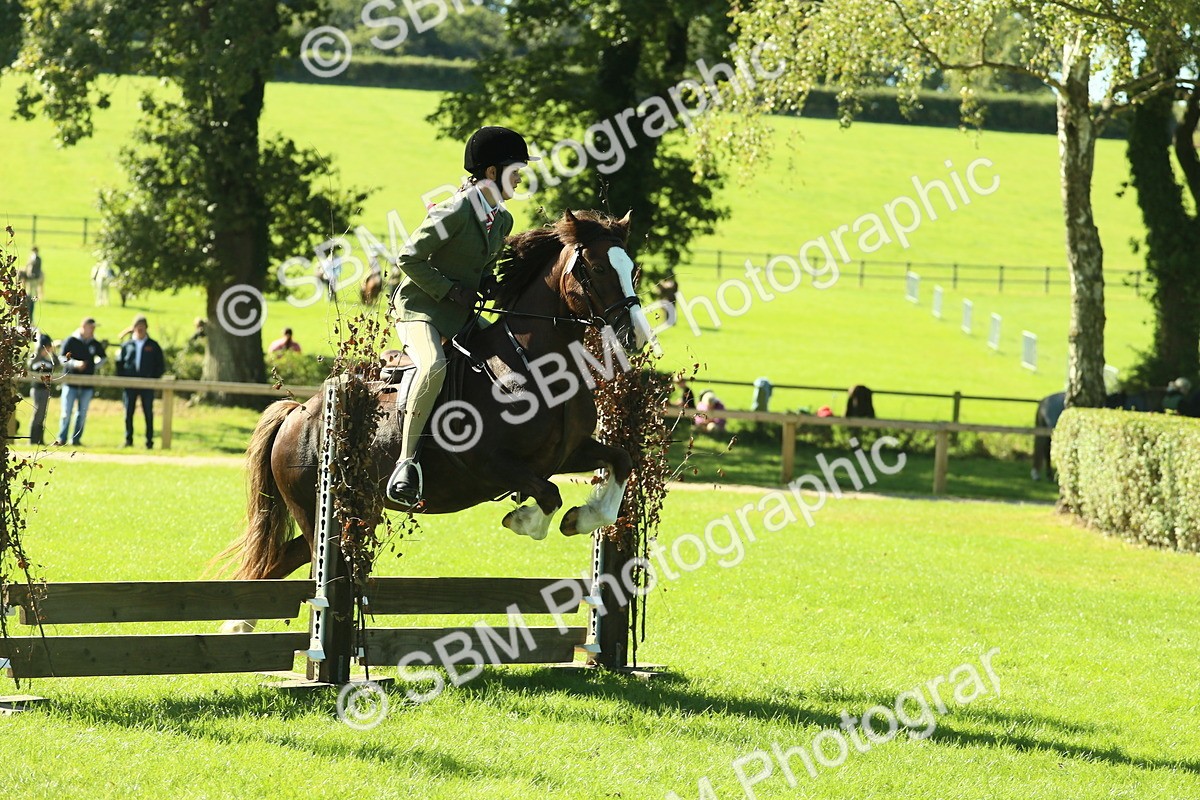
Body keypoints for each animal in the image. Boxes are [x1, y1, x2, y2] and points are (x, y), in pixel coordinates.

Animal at [218, 210, 653, 604]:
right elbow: (548, 495)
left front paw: (584, 517)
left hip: (358, 510)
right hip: (318, 509)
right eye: (598, 268)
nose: (635, 335)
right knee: (304, 564)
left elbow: (621, 461)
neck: (535, 363)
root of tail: (296, 414)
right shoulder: (489, 464)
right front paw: (523, 520)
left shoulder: (567, 452)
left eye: (632, 269)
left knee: (277, 565)